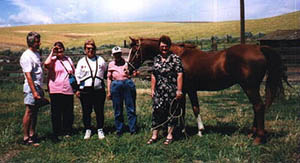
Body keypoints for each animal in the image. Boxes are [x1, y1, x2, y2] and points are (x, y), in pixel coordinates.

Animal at [128, 37, 288, 144]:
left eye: (134, 50)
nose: (127, 69)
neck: (179, 57)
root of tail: (259, 48)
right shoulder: (186, 91)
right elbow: (186, 110)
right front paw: (188, 131)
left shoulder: (187, 90)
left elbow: (192, 109)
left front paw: (194, 131)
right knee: (258, 107)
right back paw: (252, 134)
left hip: (249, 87)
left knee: (258, 106)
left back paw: (258, 138)